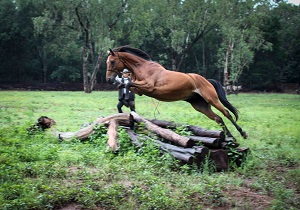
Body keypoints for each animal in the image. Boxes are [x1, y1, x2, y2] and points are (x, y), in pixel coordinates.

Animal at [106, 46, 247, 140]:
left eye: (112, 61)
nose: (109, 80)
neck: (142, 67)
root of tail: (207, 80)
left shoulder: (148, 86)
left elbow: (128, 84)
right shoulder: (140, 90)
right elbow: (126, 85)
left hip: (212, 99)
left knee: (227, 113)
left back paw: (242, 133)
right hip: (200, 106)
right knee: (218, 118)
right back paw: (231, 137)